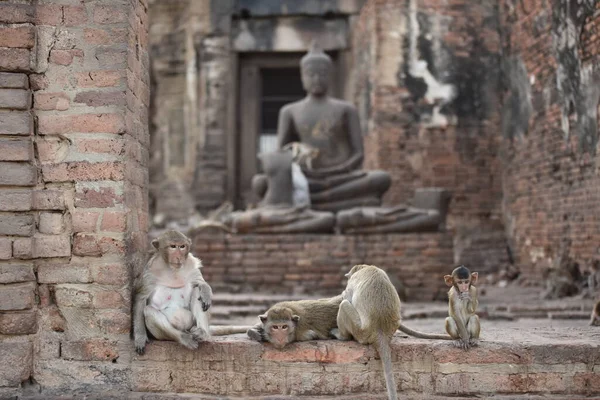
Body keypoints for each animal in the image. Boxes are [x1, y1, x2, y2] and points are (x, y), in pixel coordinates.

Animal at [336, 264, 400, 400]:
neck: (366, 268)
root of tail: (380, 331)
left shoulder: (353, 280)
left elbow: (346, 296)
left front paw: (343, 294)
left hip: (360, 331)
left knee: (344, 304)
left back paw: (342, 336)